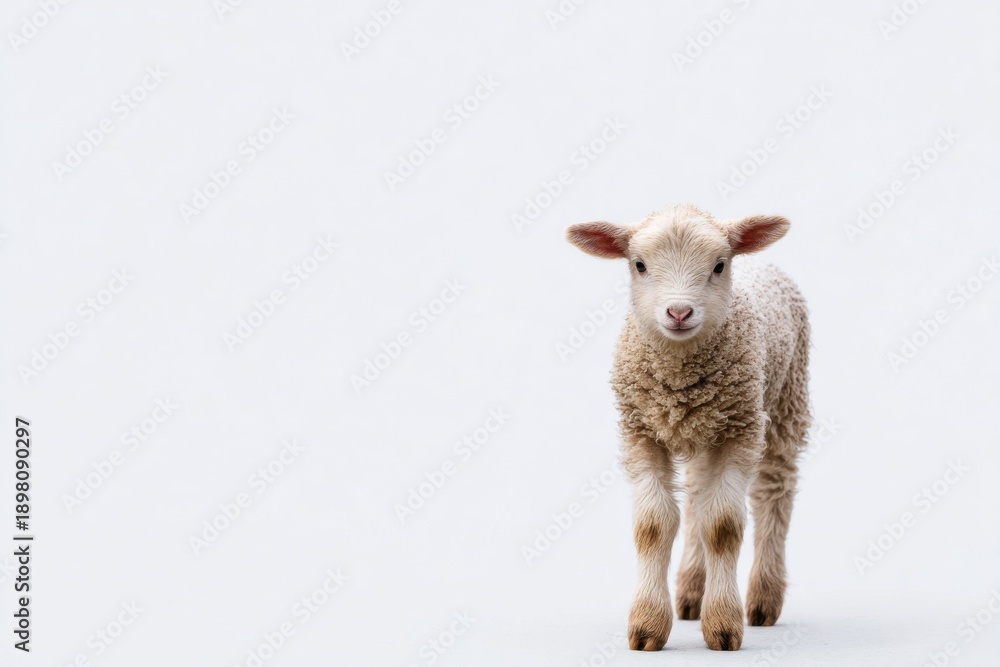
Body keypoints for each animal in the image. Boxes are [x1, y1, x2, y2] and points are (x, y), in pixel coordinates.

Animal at [565, 204, 810, 652]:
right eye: (639, 265)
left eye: (719, 265)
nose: (679, 313)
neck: (679, 377)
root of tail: (763, 262)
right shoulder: (641, 430)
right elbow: (653, 525)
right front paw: (647, 626)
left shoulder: (740, 429)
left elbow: (723, 526)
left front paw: (724, 626)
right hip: (705, 428)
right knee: (698, 496)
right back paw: (692, 592)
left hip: (785, 403)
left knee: (774, 493)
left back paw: (764, 598)